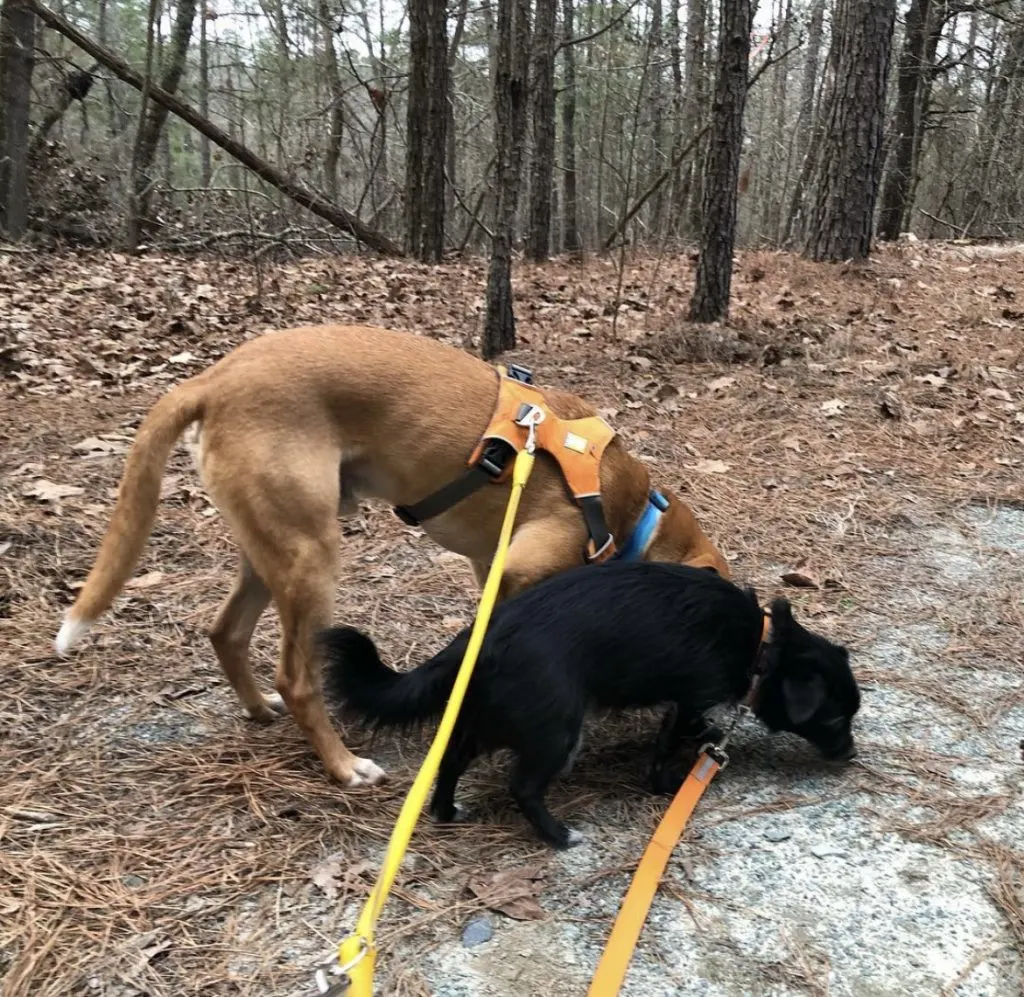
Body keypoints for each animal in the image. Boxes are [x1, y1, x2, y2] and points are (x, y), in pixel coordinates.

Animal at [56, 327, 729, 790]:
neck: (629, 510)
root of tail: (213, 380)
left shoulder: (492, 571)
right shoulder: (520, 570)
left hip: (271, 550)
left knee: (225, 633)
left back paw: (257, 708)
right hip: (312, 557)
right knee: (297, 679)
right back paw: (343, 766)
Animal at [317, 560, 856, 851]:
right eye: (834, 717)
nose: (851, 754)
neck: (764, 645)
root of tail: (481, 637)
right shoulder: (691, 695)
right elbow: (668, 745)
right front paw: (666, 783)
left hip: (490, 722)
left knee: (450, 763)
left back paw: (448, 813)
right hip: (557, 732)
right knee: (523, 787)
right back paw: (559, 836)